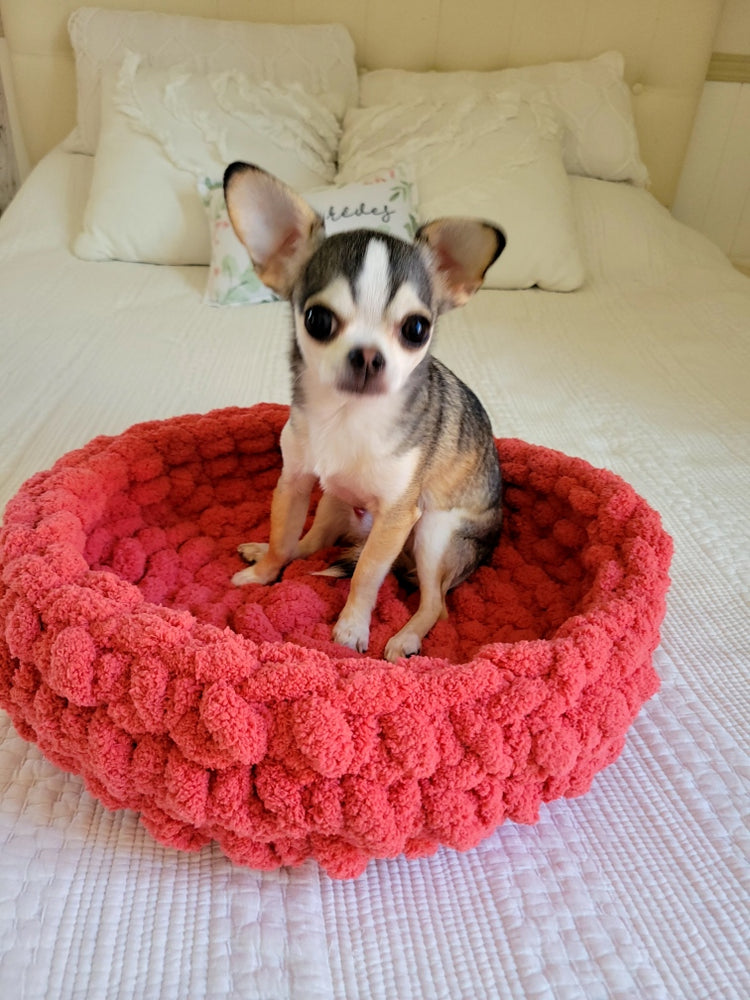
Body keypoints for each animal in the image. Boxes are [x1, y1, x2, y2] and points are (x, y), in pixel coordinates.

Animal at [223, 162, 506, 664]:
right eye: (317, 320)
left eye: (417, 329)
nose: (370, 356)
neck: (348, 415)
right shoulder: (294, 482)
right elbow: (283, 537)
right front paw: (263, 573)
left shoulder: (397, 516)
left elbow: (367, 576)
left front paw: (352, 628)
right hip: (334, 502)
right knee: (309, 543)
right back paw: (265, 552)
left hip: (434, 532)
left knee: (435, 602)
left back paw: (407, 637)